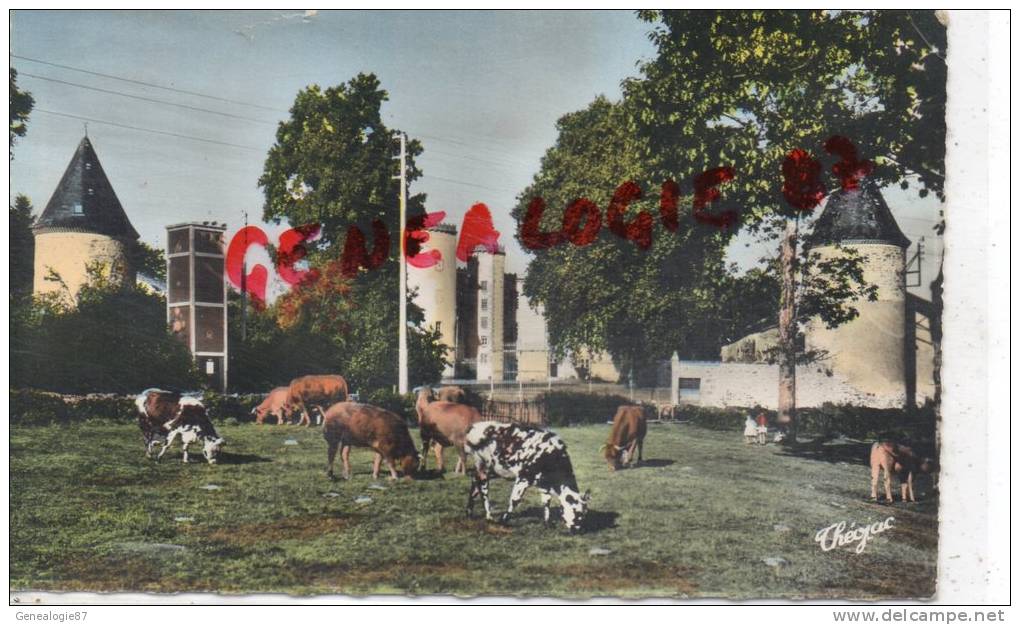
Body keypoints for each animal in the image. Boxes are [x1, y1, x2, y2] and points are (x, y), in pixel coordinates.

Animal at [463, 420, 591, 530]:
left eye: (585, 513)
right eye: (577, 512)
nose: (577, 529)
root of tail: (474, 426)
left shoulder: (543, 485)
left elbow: (546, 502)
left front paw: (547, 523)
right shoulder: (523, 478)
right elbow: (515, 500)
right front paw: (503, 520)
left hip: (492, 470)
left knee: (474, 481)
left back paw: (469, 512)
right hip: (483, 466)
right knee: (483, 488)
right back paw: (489, 516)